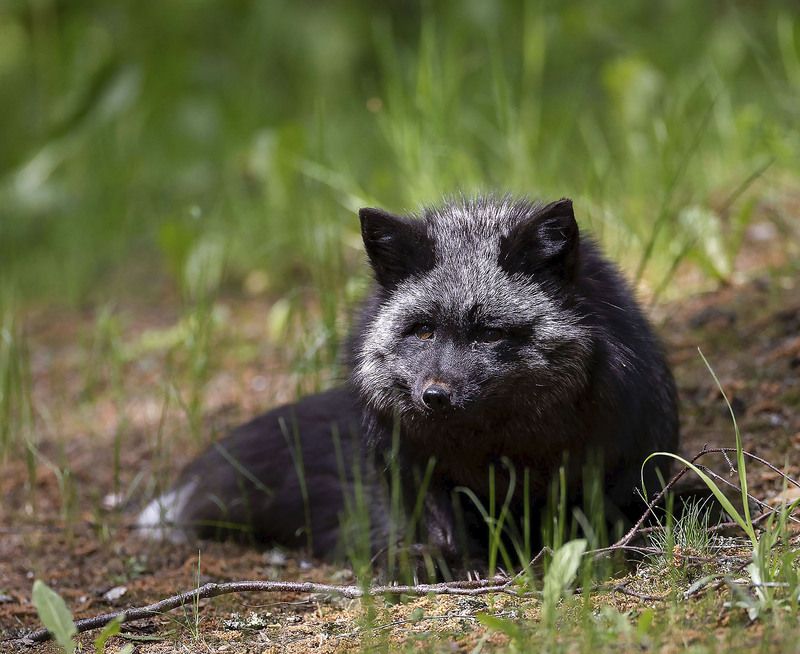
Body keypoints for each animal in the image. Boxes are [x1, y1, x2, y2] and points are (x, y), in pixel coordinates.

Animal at [137, 196, 679, 565]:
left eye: (488, 333)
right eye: (423, 331)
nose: (434, 396)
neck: (495, 450)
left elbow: (582, 521)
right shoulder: (413, 462)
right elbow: (443, 535)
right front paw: (451, 568)